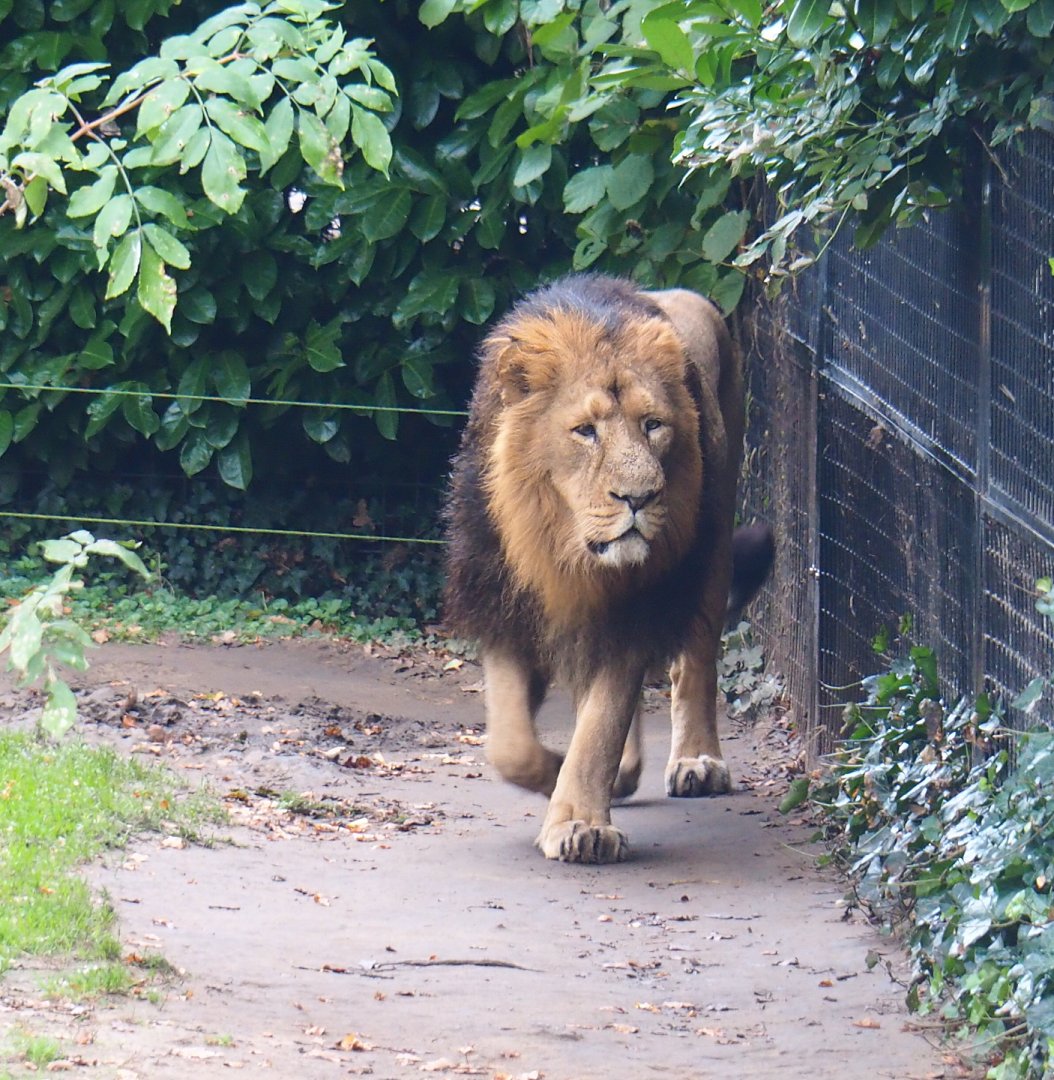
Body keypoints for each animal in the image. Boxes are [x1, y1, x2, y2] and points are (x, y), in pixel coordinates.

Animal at [444, 274, 773, 864]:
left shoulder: (631, 614)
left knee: (695, 664)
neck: (566, 553)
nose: (639, 497)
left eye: (654, 425)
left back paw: (696, 761)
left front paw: (579, 822)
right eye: (585, 431)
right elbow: (511, 745)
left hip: (712, 553)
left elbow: (601, 724)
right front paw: (559, 777)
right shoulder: (504, 603)